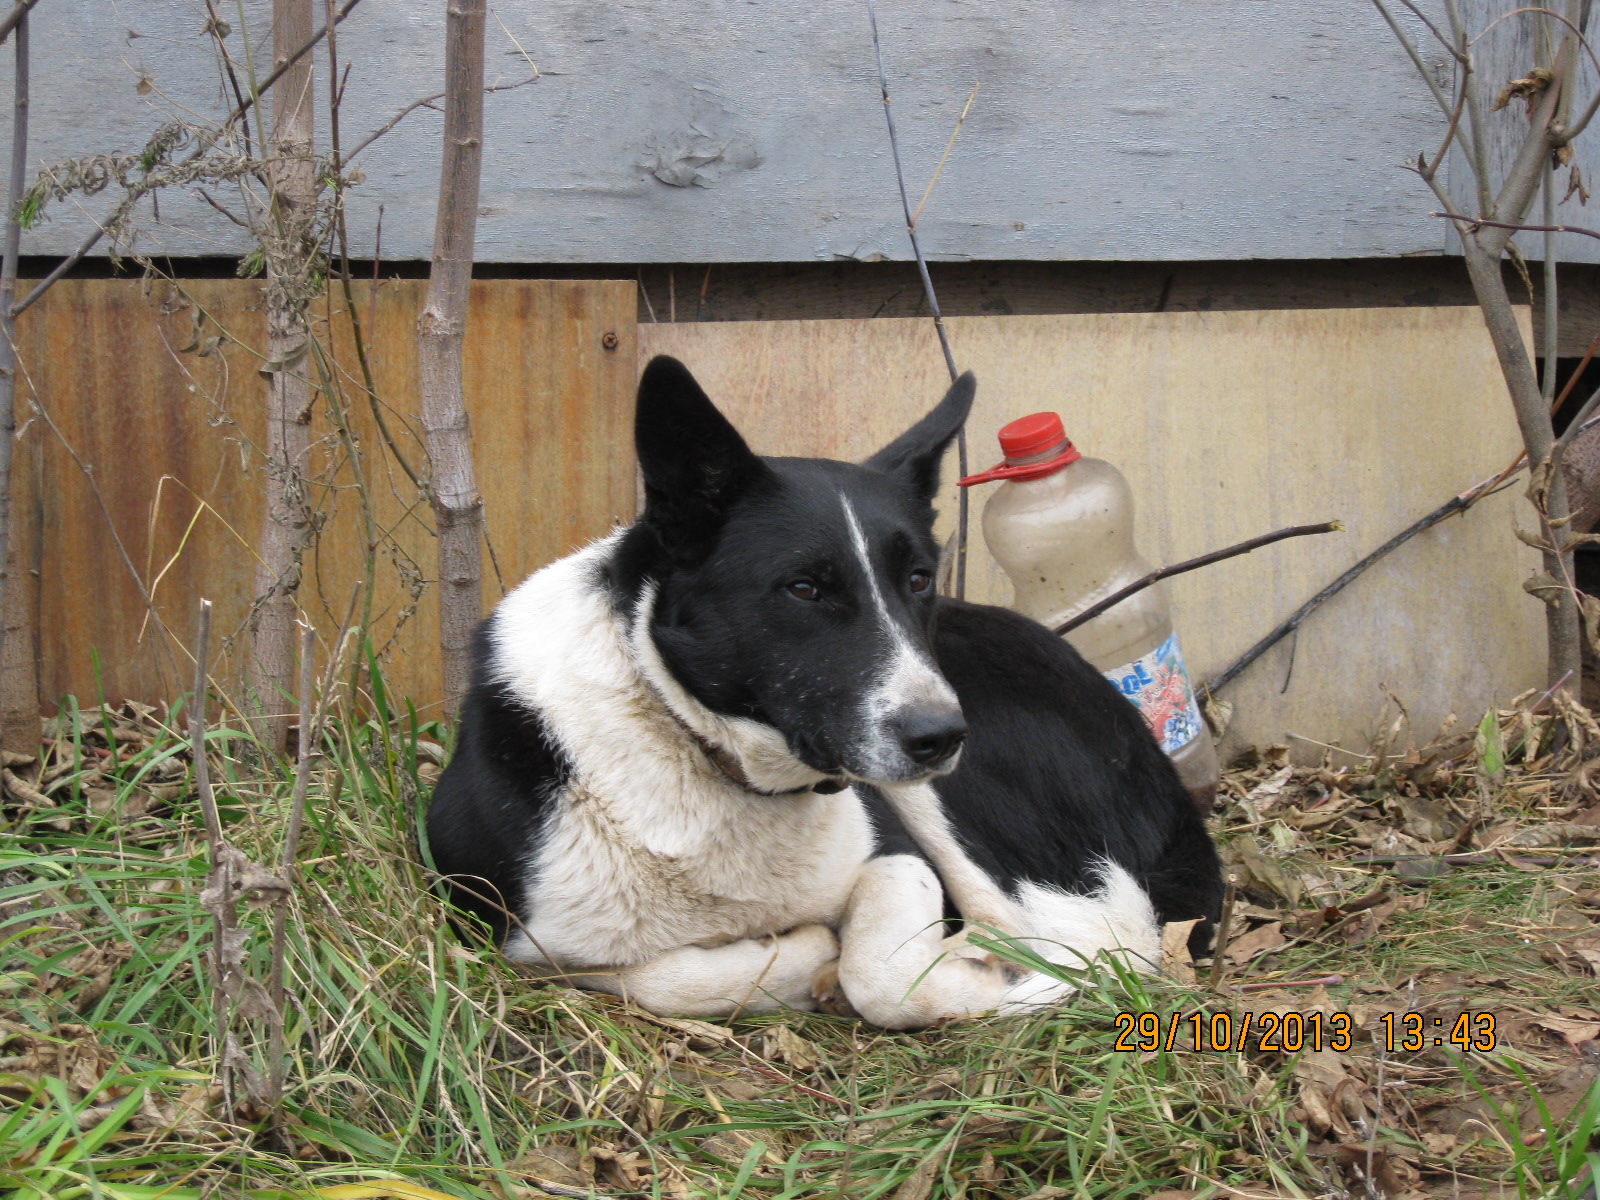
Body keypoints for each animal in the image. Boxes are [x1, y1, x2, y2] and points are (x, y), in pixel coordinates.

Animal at [428, 356, 1222, 1036]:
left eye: (919, 579)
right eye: (804, 588)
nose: (942, 735)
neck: (706, 754)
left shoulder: (896, 854)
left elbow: (880, 972)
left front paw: (945, 975)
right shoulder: (516, 936)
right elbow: (655, 975)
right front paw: (797, 957)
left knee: (1093, 938)